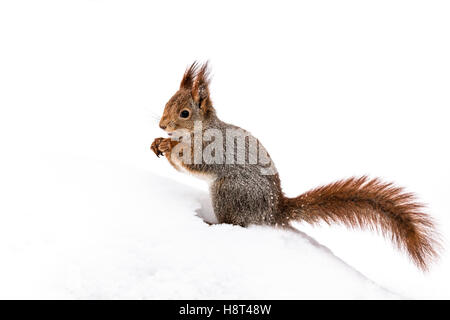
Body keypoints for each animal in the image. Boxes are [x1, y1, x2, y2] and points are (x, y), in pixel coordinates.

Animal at [151, 60, 440, 270]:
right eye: (166, 103)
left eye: (185, 113)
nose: (162, 126)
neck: (199, 131)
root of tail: (274, 210)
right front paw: (158, 143)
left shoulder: (214, 150)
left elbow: (193, 162)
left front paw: (170, 147)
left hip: (229, 191)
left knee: (236, 223)